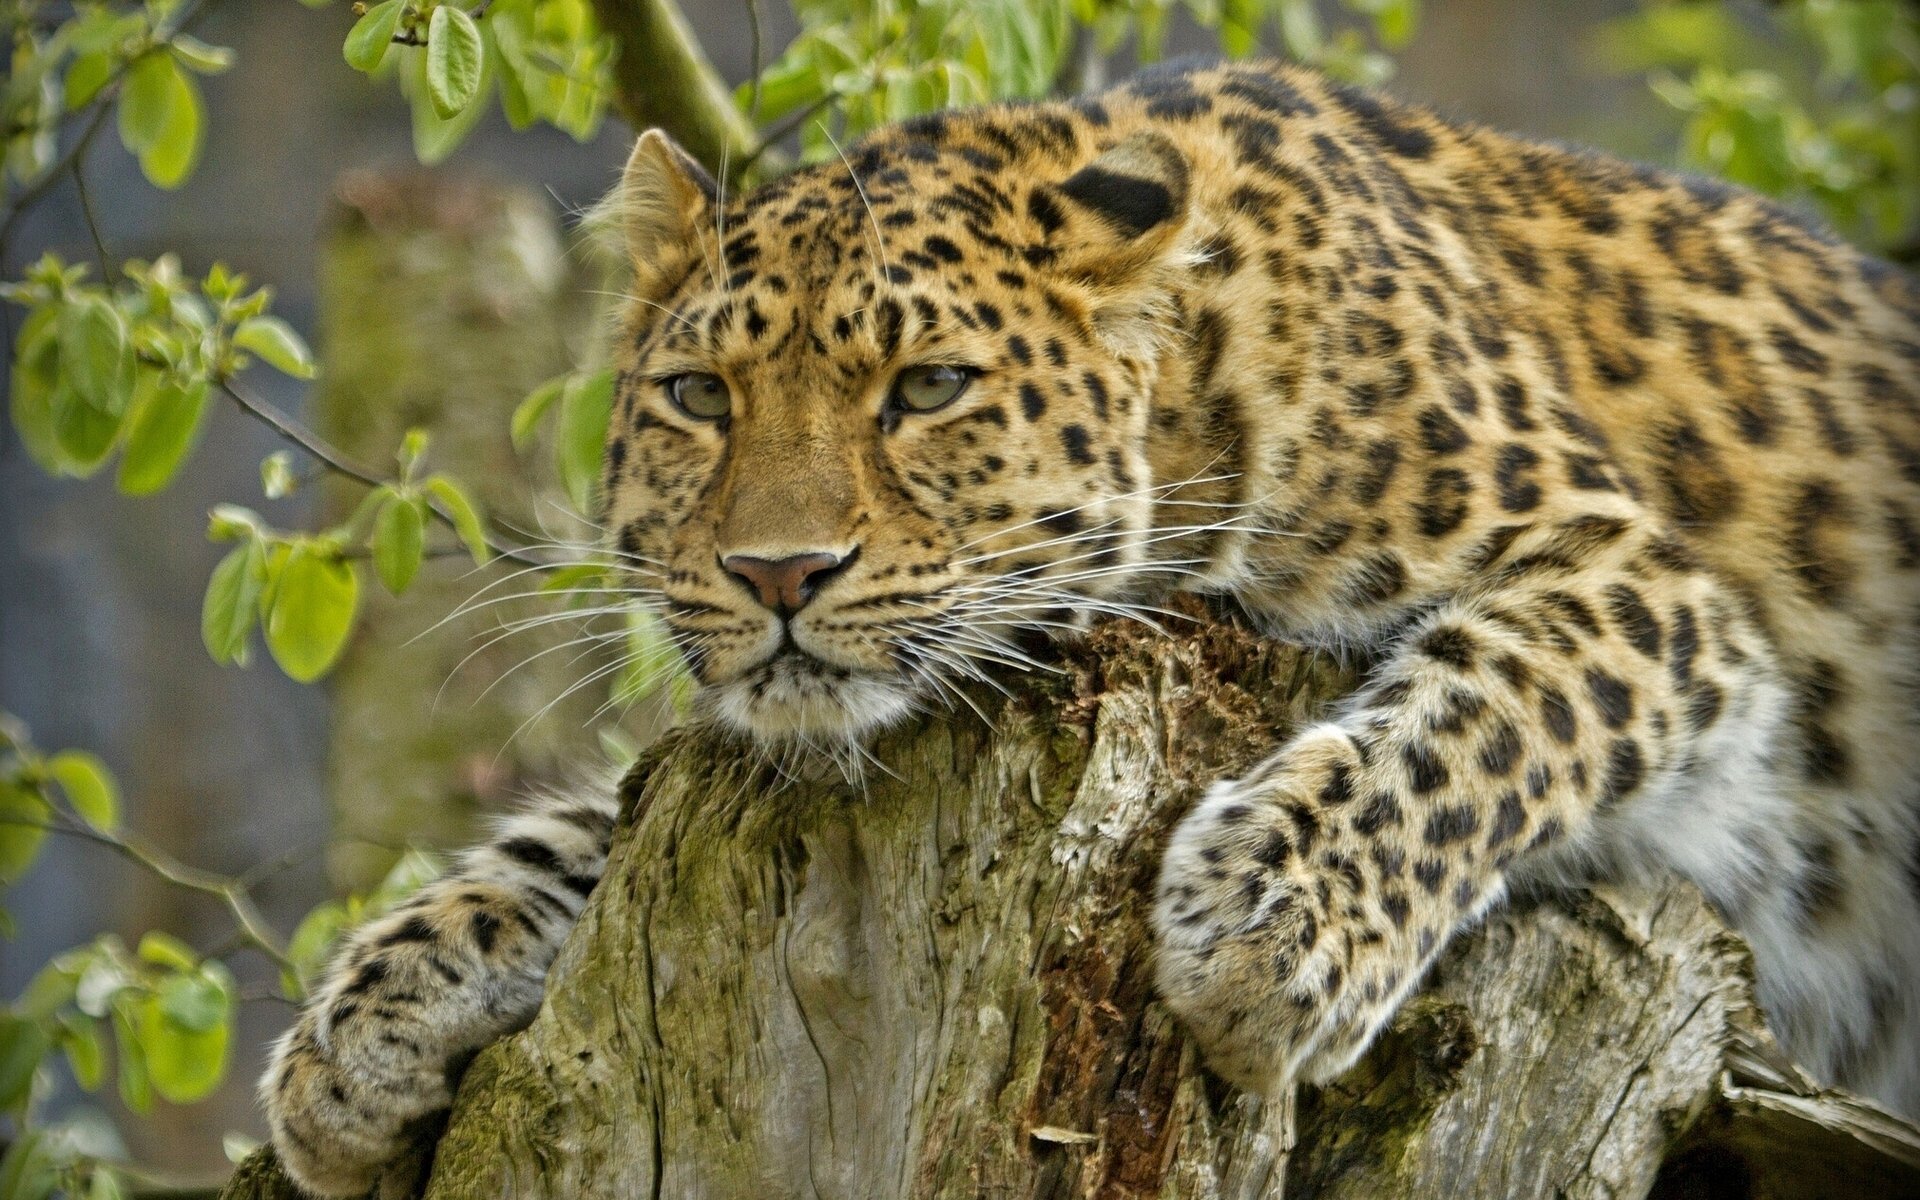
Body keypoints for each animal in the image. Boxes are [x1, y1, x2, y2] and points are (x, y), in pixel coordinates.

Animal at [260, 58, 1920, 1196]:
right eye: (699, 397)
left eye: (927, 388)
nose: (778, 573)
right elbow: (591, 824)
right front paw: (367, 1019)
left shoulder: (1649, 588)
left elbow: (1484, 718)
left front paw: (1271, 927)